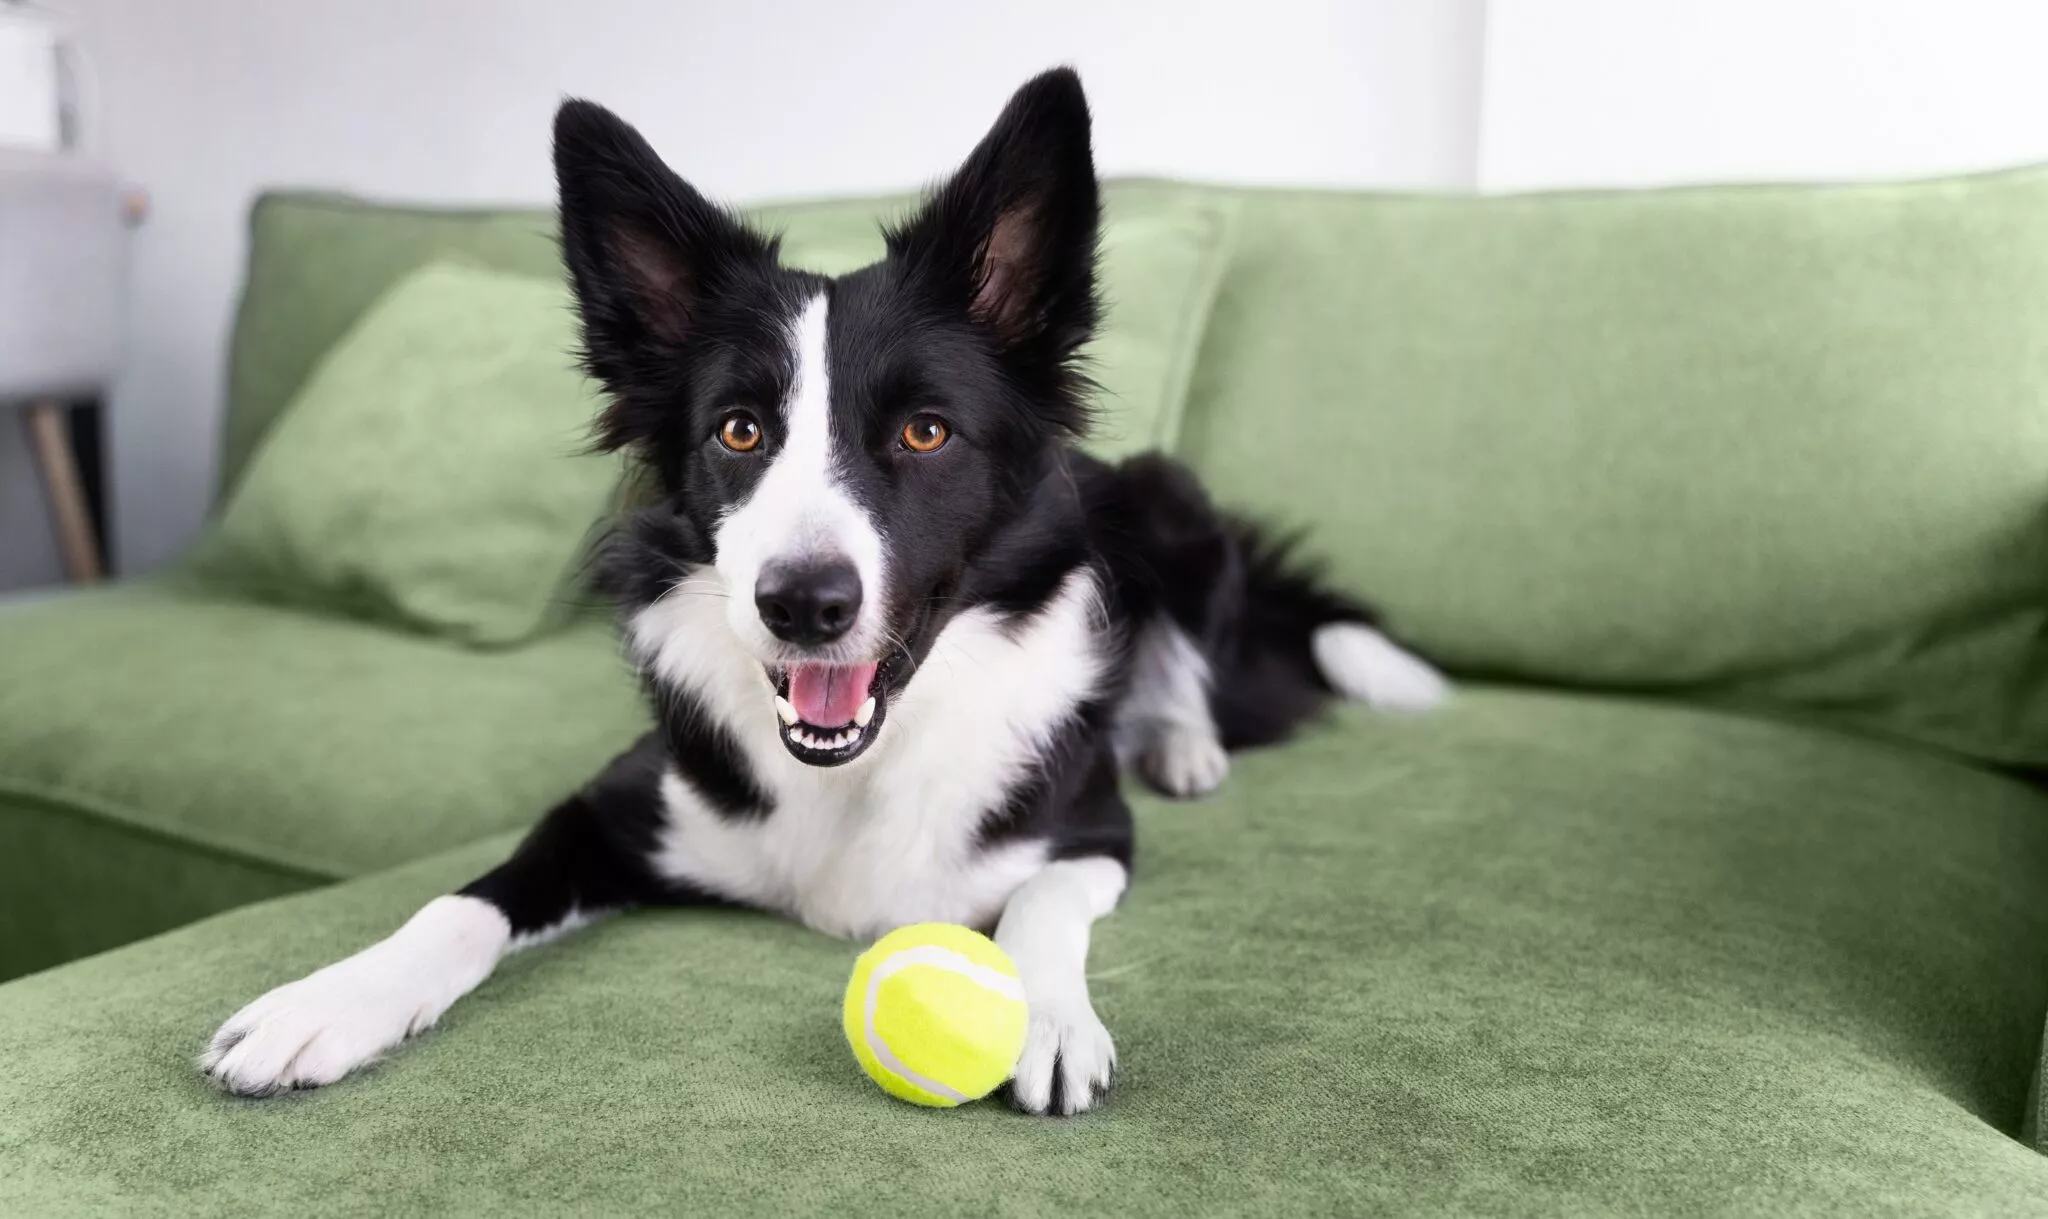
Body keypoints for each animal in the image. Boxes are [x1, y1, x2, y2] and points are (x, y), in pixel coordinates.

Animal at [192, 66, 1441, 1114]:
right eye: (739, 430)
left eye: (926, 431)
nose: (802, 605)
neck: (855, 774)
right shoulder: (609, 807)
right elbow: (463, 900)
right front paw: (331, 1000)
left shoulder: (1091, 831)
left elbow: (1037, 904)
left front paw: (1044, 1013)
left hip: (1165, 497)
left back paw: (1183, 746)